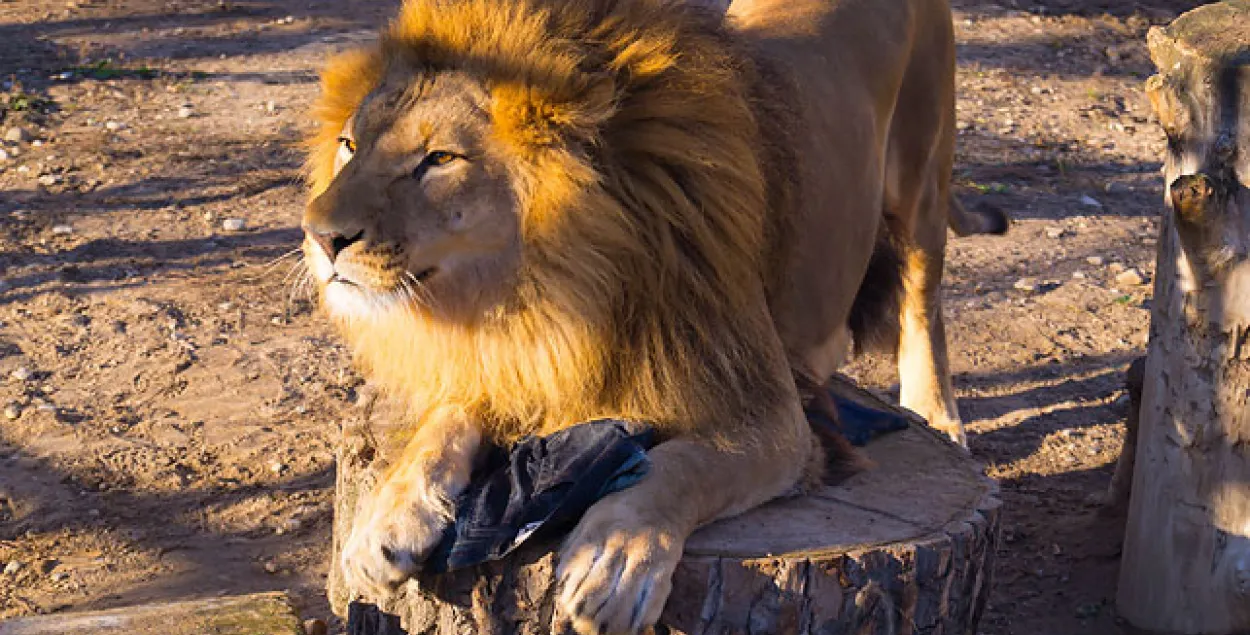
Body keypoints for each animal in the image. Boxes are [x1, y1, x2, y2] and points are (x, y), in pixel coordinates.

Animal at [300, 0, 1005, 632]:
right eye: (349, 145)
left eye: (439, 160)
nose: (321, 236)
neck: (541, 291)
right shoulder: (518, 361)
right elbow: (443, 423)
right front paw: (385, 523)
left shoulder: (774, 418)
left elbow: (684, 464)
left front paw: (613, 558)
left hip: (922, 183)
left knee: (924, 304)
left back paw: (937, 413)